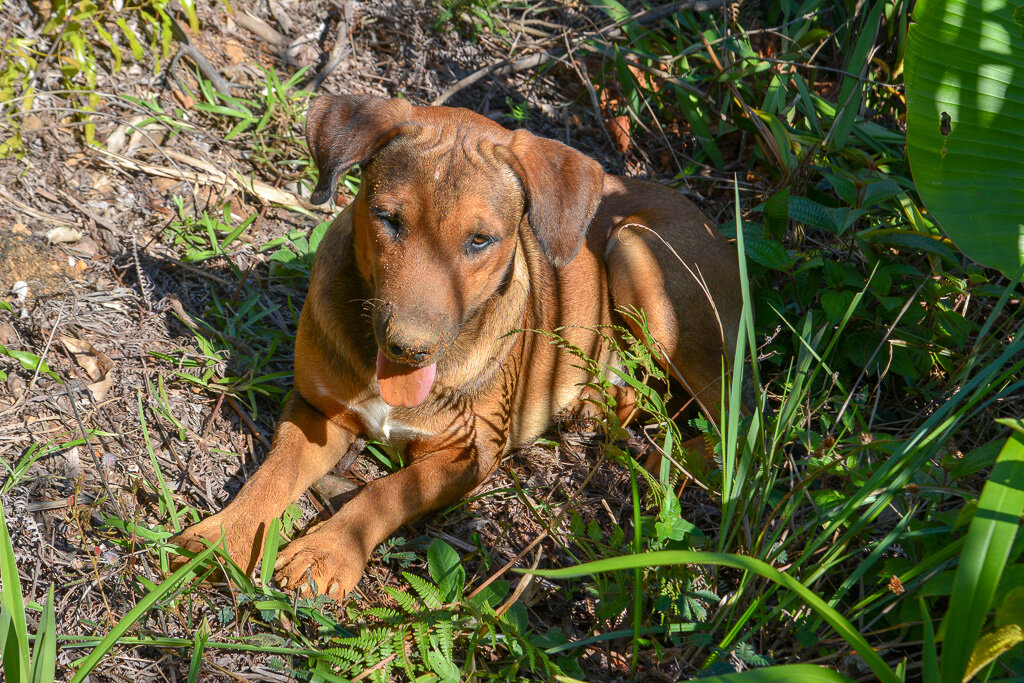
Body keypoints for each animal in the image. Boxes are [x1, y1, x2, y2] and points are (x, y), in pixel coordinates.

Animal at [172, 94, 741, 598]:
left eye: (480, 240)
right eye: (388, 218)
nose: (408, 349)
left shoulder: (470, 451)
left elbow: (385, 492)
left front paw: (327, 552)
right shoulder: (320, 410)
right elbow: (274, 473)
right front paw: (221, 537)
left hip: (639, 255)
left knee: (725, 411)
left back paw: (674, 457)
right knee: (641, 393)